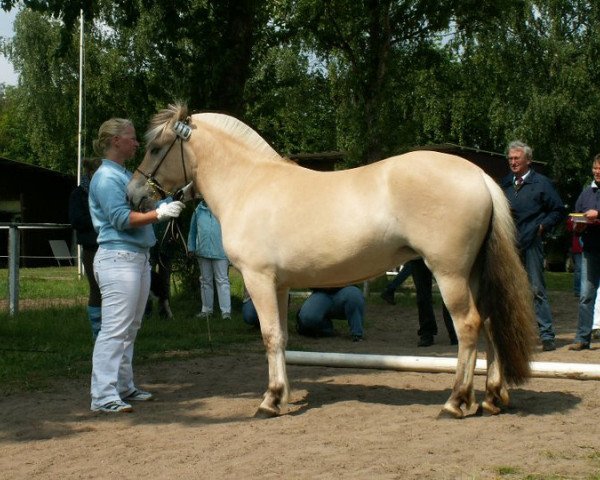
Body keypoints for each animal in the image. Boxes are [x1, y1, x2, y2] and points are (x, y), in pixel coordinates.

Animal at [125, 103, 536, 418]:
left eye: (157, 147)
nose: (133, 194)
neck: (249, 184)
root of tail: (480, 176)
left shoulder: (258, 279)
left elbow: (269, 336)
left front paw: (269, 401)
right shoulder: (280, 285)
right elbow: (282, 337)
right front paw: (282, 396)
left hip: (449, 274)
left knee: (468, 326)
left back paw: (456, 402)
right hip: (474, 275)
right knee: (490, 322)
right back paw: (492, 398)